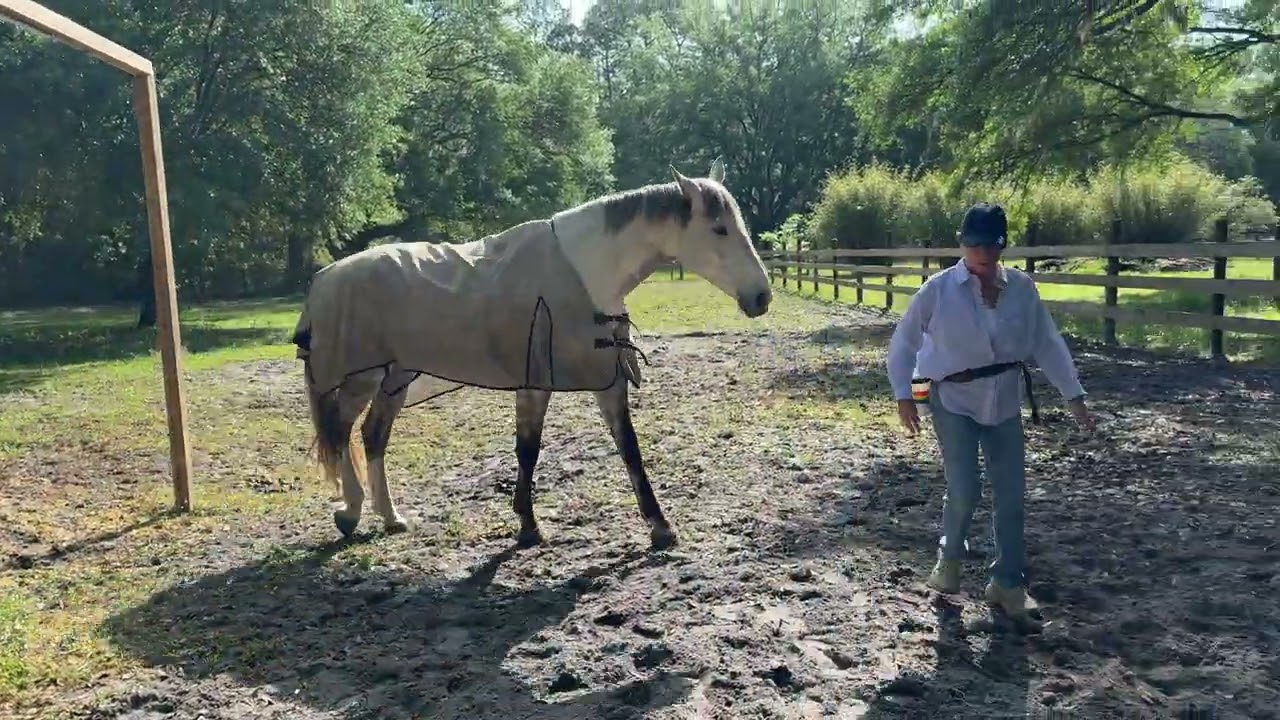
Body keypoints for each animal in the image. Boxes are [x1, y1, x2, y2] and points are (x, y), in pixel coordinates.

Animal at [290, 158, 772, 551]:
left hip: (396, 377)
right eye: (719, 229)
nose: (761, 297)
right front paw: (528, 526)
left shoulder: (604, 379)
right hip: (361, 377)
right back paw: (350, 514)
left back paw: (390, 518)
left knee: (373, 435)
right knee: (341, 432)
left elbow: (627, 447)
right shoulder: (538, 380)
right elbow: (528, 450)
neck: (587, 270)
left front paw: (659, 526)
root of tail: (326, 277)